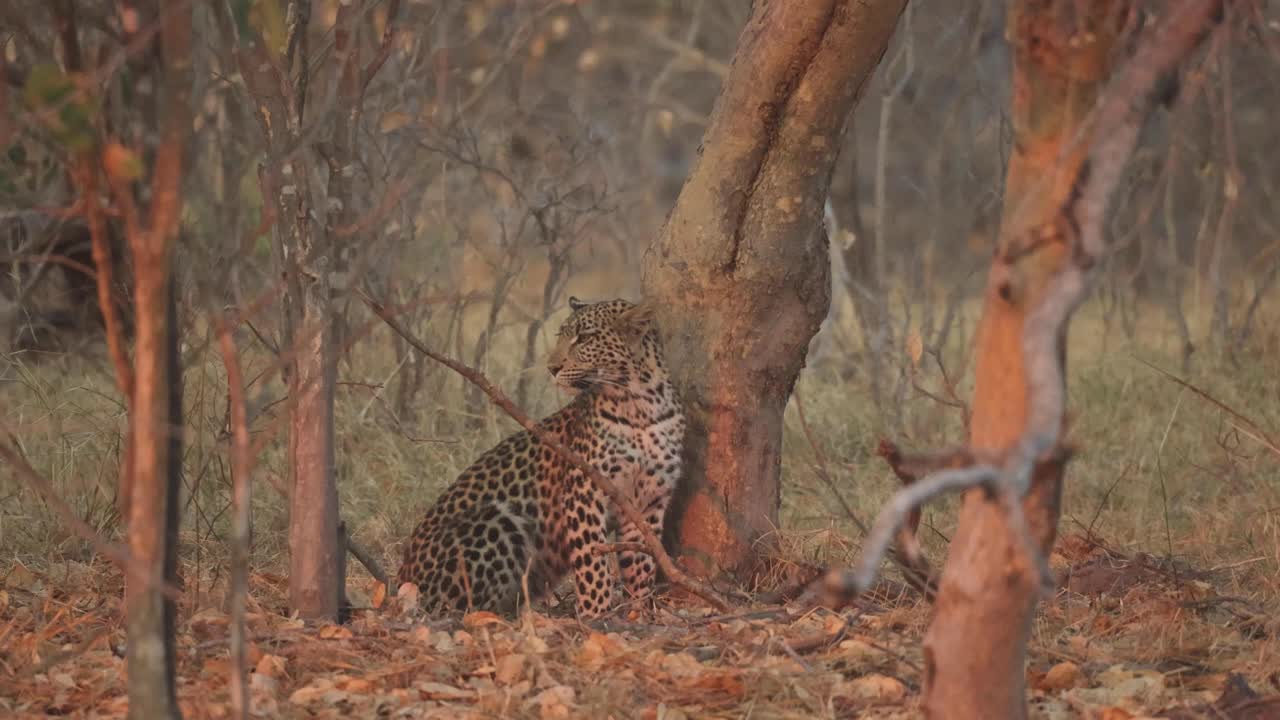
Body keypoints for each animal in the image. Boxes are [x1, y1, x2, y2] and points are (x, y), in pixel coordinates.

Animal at [395, 296, 685, 618]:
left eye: (585, 338)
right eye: (562, 336)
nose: (552, 368)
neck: (640, 404)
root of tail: (402, 575)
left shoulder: (648, 498)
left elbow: (641, 562)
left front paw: (638, 612)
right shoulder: (584, 491)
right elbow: (592, 563)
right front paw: (594, 615)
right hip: (495, 519)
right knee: (454, 607)